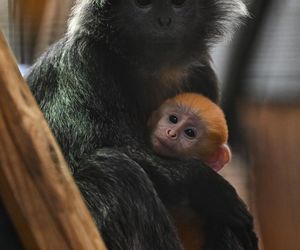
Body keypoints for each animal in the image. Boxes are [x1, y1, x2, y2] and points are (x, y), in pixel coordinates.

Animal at [0, 0, 258, 250]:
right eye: (142, 4)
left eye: (179, 4)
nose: (164, 20)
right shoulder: (82, 61)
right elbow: (73, 152)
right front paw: (203, 183)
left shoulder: (203, 75)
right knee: (115, 170)